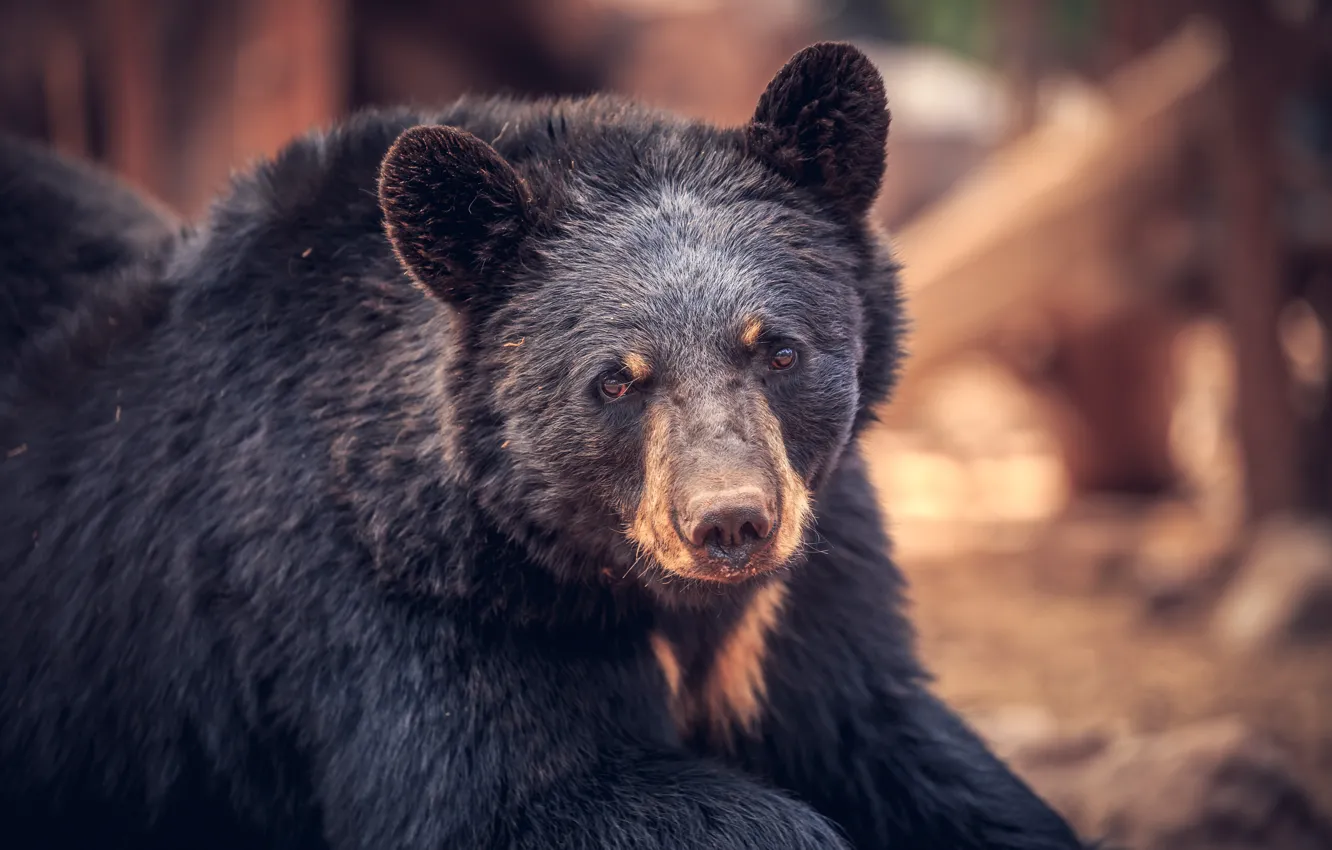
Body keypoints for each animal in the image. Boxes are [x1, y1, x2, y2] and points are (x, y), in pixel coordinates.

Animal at [0, 43, 1089, 850]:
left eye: (778, 348)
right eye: (616, 380)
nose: (731, 524)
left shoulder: (808, 573)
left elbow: (888, 727)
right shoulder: (396, 589)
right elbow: (508, 792)